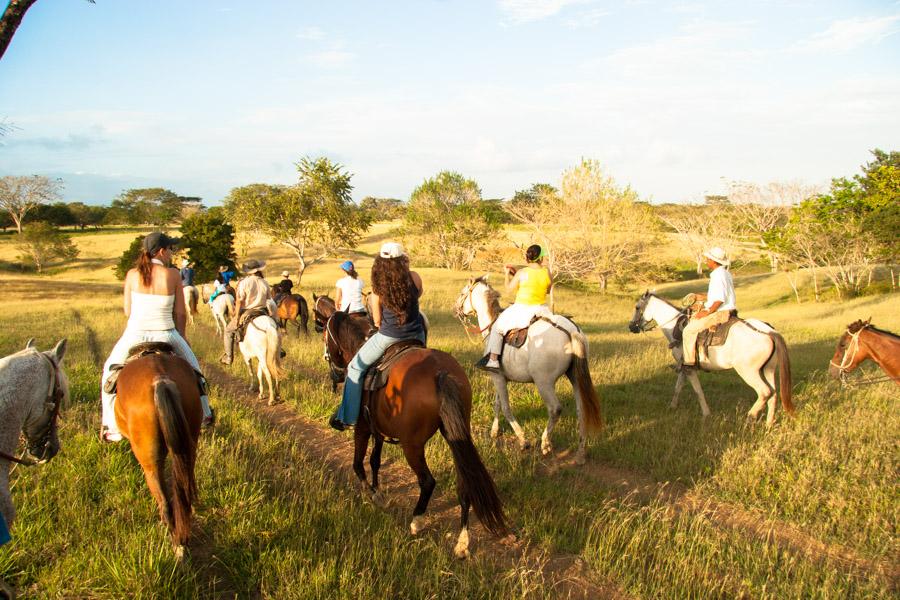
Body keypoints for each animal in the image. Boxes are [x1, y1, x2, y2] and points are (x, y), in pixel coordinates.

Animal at [322, 314, 506, 556]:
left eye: (325, 337)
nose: (334, 375)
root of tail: (441, 372)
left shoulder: (363, 428)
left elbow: (358, 464)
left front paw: (372, 494)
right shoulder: (378, 430)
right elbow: (375, 461)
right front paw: (377, 489)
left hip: (412, 445)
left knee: (427, 481)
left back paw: (417, 521)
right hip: (455, 436)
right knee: (465, 484)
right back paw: (462, 541)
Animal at [454, 274, 600, 462]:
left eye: (462, 293)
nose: (456, 309)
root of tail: (570, 330)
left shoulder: (497, 377)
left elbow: (506, 408)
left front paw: (522, 439)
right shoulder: (500, 376)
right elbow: (497, 404)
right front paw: (494, 431)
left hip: (544, 382)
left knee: (555, 409)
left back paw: (545, 443)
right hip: (575, 377)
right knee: (581, 410)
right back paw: (581, 452)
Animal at [624, 292, 796, 424]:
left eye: (637, 307)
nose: (631, 327)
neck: (675, 328)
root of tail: (769, 331)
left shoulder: (690, 369)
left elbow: (698, 391)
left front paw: (706, 414)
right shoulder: (683, 367)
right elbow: (678, 387)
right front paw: (672, 407)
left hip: (748, 372)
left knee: (765, 392)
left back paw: (750, 416)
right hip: (769, 369)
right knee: (774, 393)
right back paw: (768, 424)